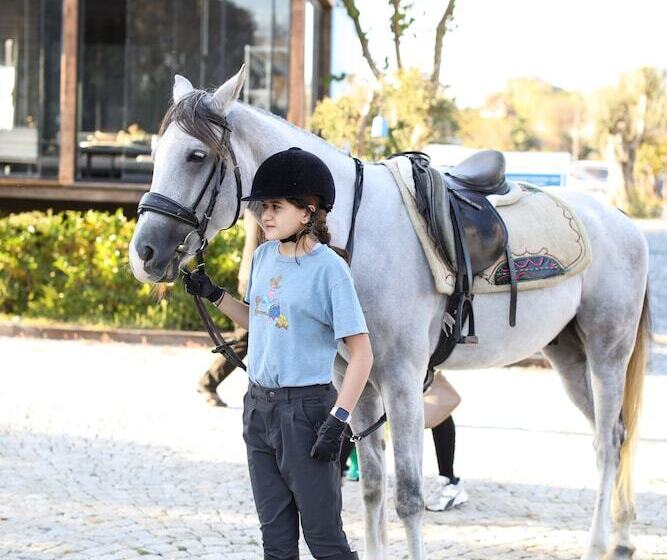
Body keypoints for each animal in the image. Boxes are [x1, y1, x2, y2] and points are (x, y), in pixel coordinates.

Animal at [129, 66, 650, 560]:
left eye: (196, 155)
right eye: (156, 154)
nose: (144, 253)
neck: (350, 234)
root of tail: (625, 223)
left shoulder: (402, 380)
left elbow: (409, 497)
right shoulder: (354, 383)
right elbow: (375, 489)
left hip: (607, 352)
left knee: (607, 442)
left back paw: (598, 544)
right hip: (569, 356)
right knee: (618, 434)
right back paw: (624, 537)